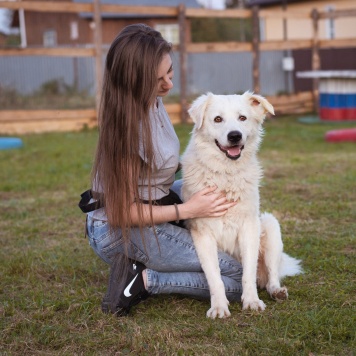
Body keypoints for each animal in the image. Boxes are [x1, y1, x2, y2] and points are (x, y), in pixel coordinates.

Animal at [182, 90, 302, 318]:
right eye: (217, 119)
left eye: (242, 118)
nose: (235, 136)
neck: (226, 175)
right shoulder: (203, 234)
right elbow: (214, 276)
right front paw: (219, 307)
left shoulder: (249, 228)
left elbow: (248, 272)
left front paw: (252, 301)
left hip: (270, 225)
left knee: (271, 277)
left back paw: (277, 291)